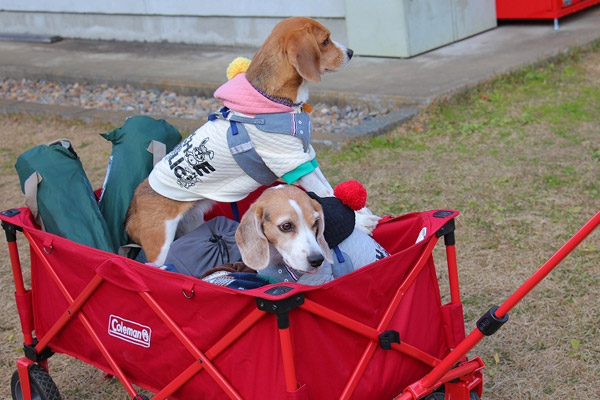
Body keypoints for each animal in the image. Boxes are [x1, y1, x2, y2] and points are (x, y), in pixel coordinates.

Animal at [126, 17, 378, 266]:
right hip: (160, 247)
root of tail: (134, 204)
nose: (351, 52)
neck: (275, 102)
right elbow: (325, 194)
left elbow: (328, 189)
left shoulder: (304, 156)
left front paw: (361, 212)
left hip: (192, 222)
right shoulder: (291, 163)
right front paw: (360, 222)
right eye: (325, 41)